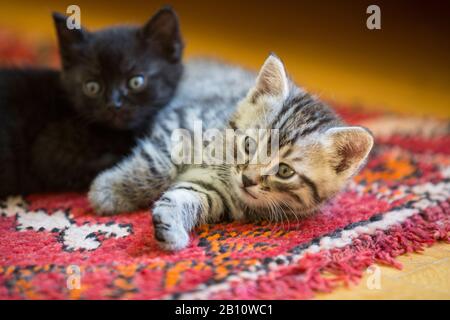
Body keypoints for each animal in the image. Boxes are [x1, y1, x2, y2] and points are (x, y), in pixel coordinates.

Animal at [89, 54, 372, 250]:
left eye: (284, 171)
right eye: (248, 144)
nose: (247, 179)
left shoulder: (215, 194)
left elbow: (184, 197)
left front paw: (170, 225)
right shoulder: (181, 124)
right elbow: (159, 165)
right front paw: (110, 190)